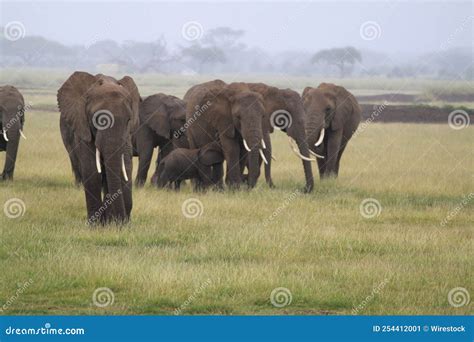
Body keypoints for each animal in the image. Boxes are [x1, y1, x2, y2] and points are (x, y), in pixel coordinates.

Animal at [56, 71, 140, 224]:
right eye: (98, 120)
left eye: (128, 120)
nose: (123, 222)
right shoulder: (83, 129)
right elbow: (91, 170)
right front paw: (96, 225)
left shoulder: (127, 136)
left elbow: (125, 167)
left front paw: (114, 224)